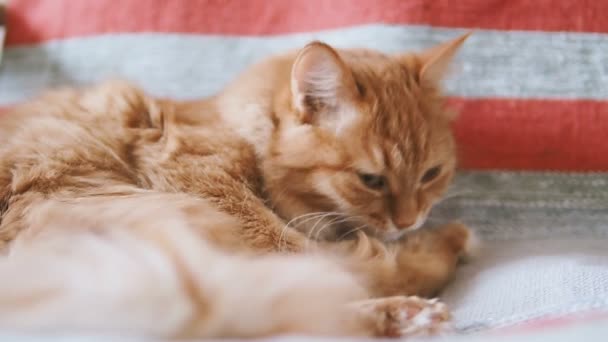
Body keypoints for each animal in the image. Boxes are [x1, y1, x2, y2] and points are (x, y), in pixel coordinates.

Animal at [0, 33, 476, 338]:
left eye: (431, 174)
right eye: (371, 180)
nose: (410, 221)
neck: (239, 129)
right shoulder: (219, 197)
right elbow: (348, 264)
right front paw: (441, 246)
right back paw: (411, 304)